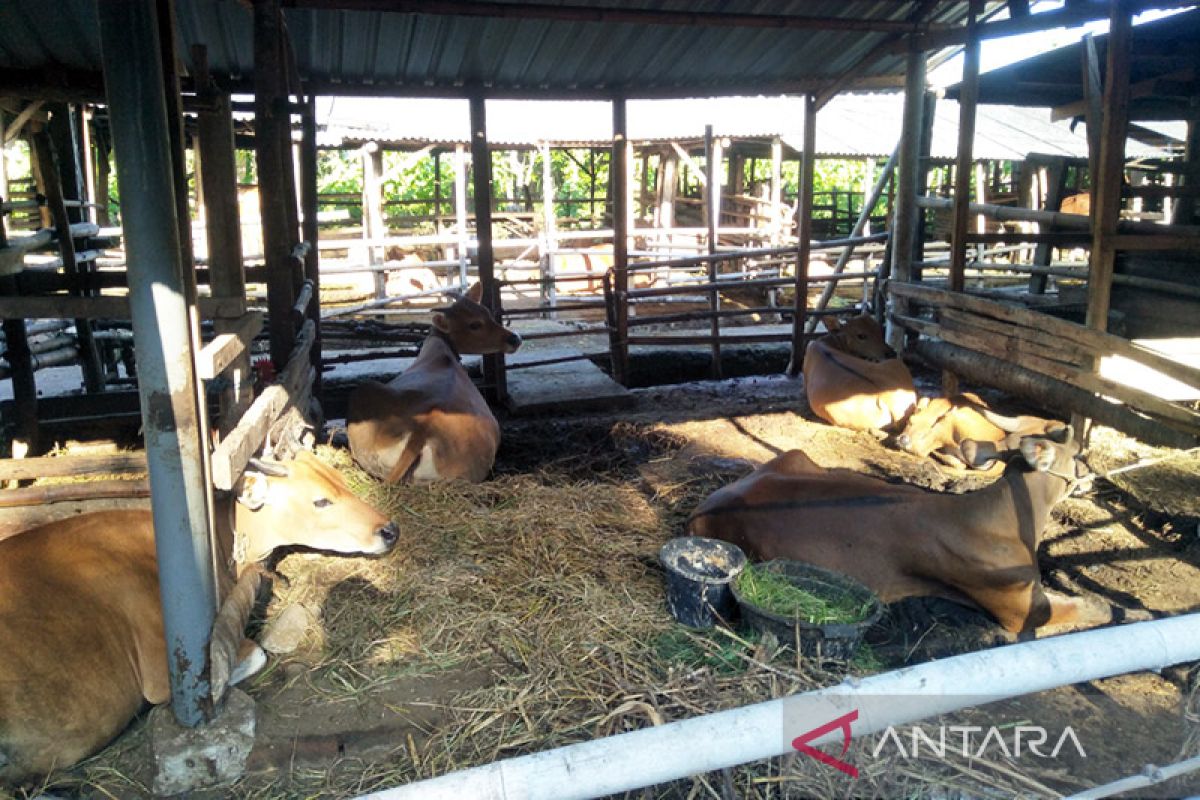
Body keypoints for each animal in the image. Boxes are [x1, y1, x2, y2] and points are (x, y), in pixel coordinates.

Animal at [691, 429, 1108, 633]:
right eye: (1080, 453)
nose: (1093, 474)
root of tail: (706, 504)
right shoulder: (1020, 610)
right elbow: (1085, 609)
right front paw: (1106, 607)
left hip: (800, 457)